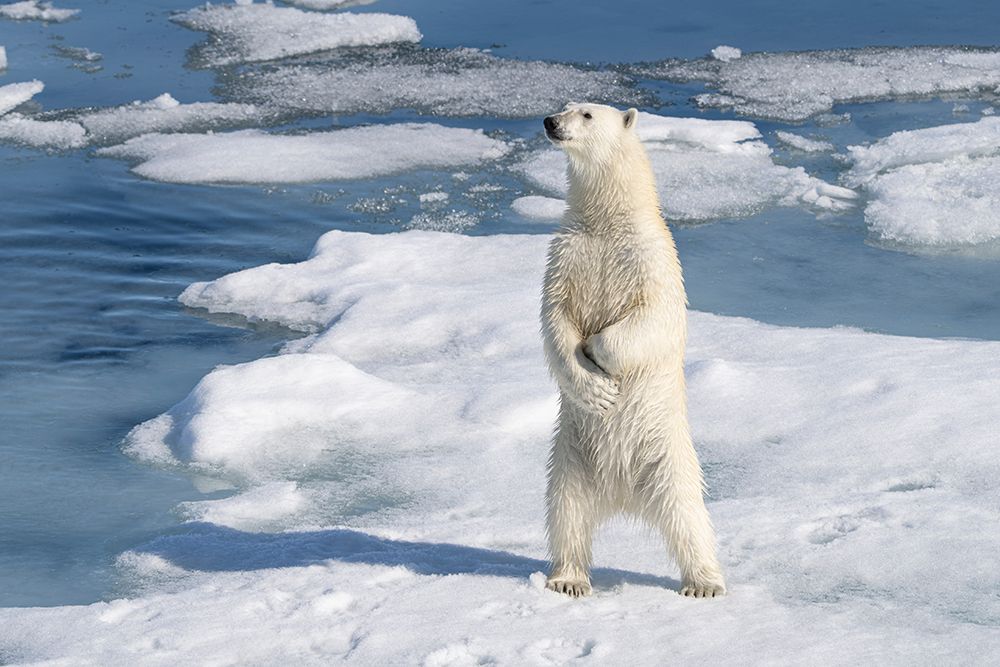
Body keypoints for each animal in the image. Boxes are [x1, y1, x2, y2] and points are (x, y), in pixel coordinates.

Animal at [540, 103, 726, 598]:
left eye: (586, 113)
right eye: (564, 104)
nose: (550, 122)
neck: (607, 221)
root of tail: (622, 495)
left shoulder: (651, 259)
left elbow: (652, 318)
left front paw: (596, 355)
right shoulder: (566, 255)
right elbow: (554, 319)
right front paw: (595, 389)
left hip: (666, 457)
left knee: (688, 515)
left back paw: (704, 582)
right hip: (571, 459)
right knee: (566, 514)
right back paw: (568, 579)